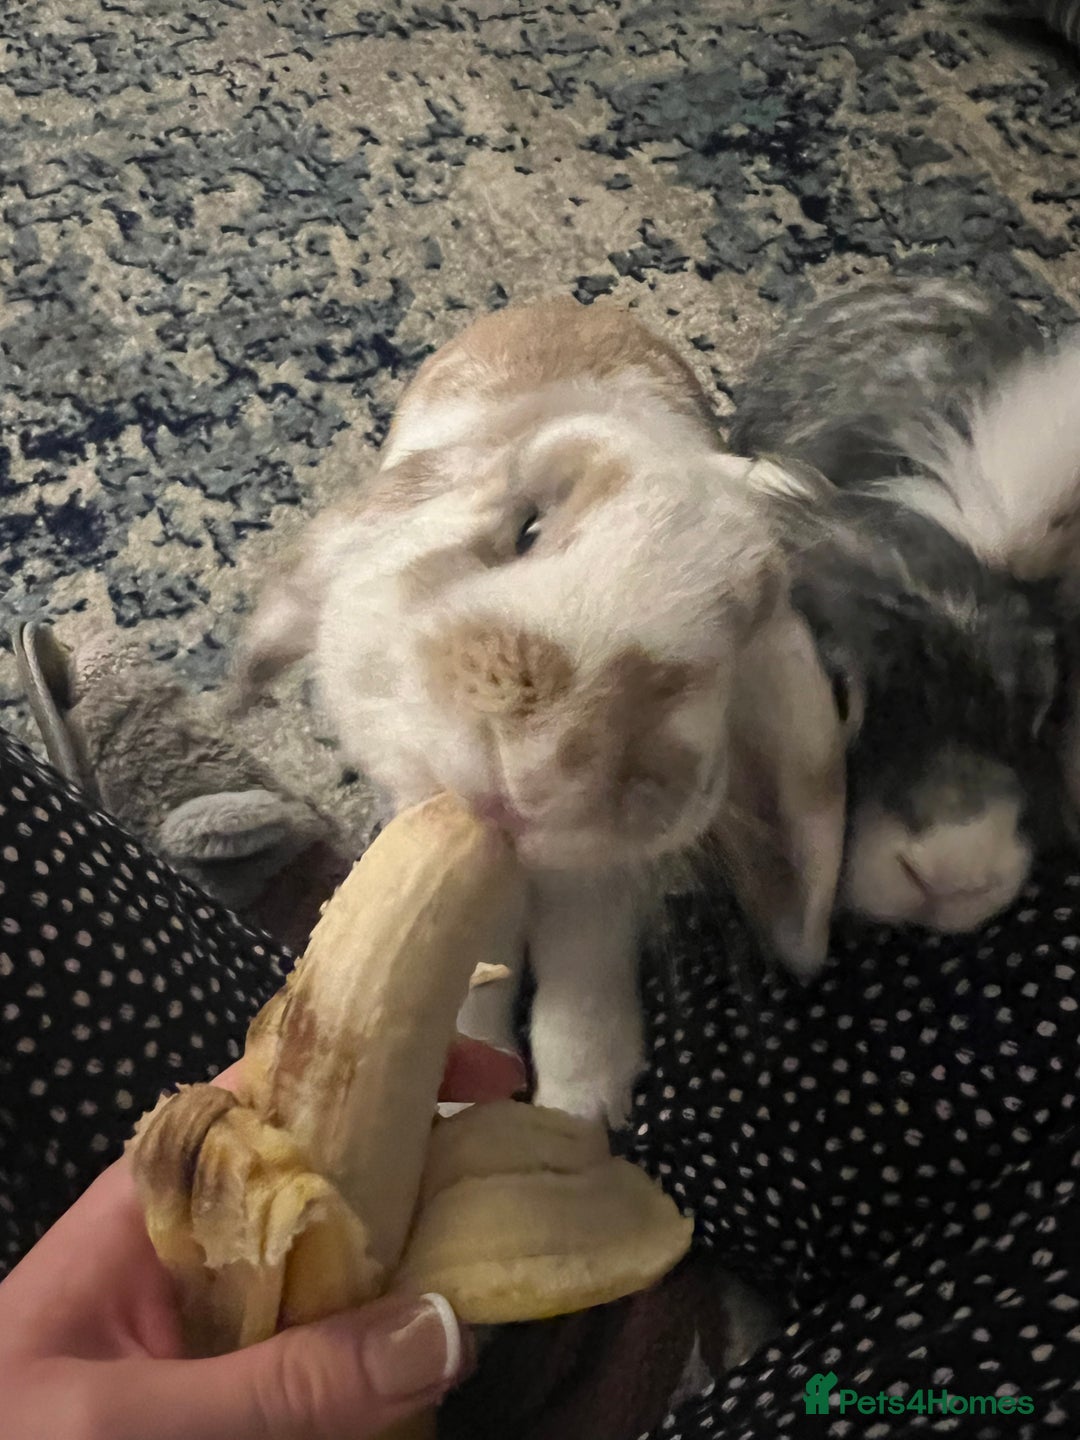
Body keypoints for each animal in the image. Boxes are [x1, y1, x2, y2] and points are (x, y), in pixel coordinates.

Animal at [232, 296, 850, 1125]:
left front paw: (581, 1110)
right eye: (524, 528)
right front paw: (463, 1096)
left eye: (741, 632)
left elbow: (581, 986)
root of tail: (565, 305)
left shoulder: (599, 887)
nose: (542, 771)